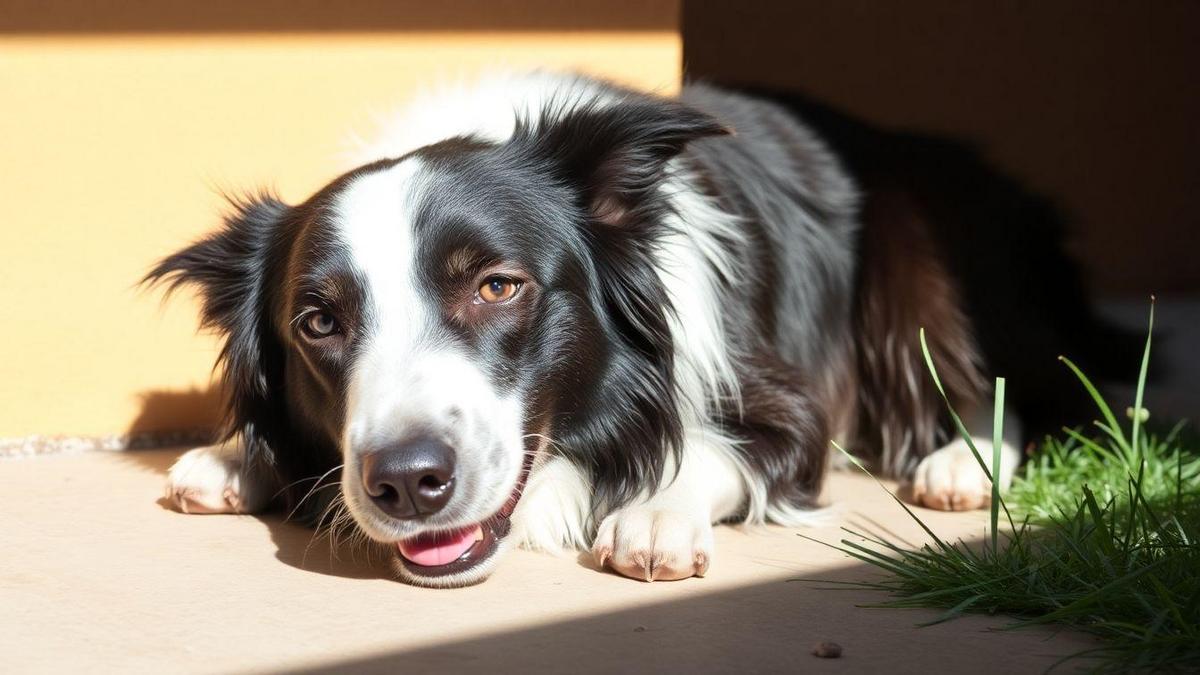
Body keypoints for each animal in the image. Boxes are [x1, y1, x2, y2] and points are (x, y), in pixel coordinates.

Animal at [150, 69, 1132, 583]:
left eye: (499, 286)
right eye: (319, 322)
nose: (406, 482)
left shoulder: (784, 397)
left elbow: (720, 447)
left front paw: (656, 511)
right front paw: (235, 456)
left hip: (914, 246)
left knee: (1005, 382)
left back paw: (959, 463)